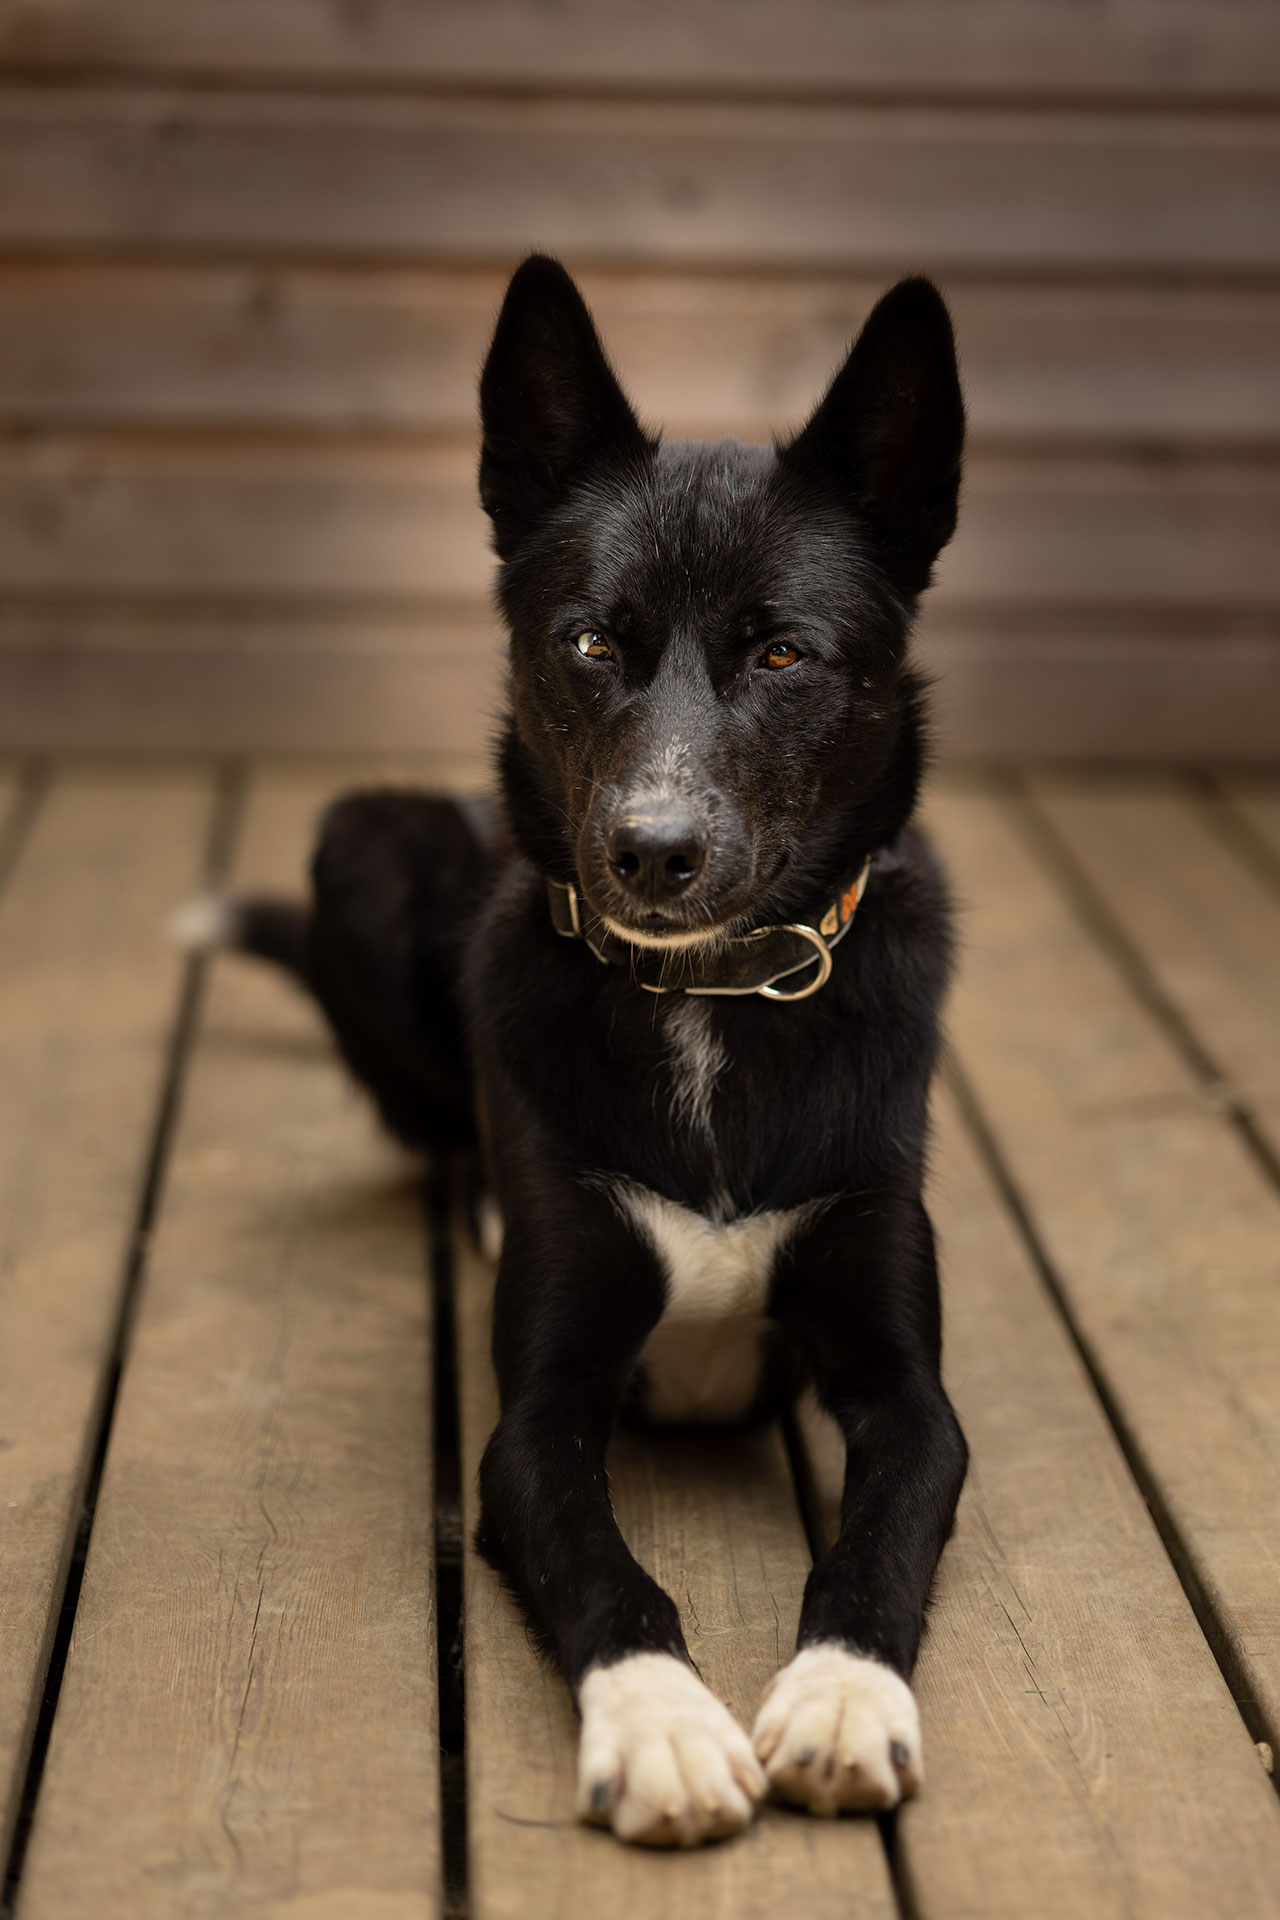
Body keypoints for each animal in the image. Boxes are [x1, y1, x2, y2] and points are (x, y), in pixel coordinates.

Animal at [195, 255, 967, 1843]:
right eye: (593, 642)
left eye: (783, 652)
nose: (652, 854)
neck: (710, 1001)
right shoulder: (532, 1419)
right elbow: (606, 1570)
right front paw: (661, 1726)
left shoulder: (908, 1388)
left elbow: (878, 1540)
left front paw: (842, 1697)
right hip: (362, 838)